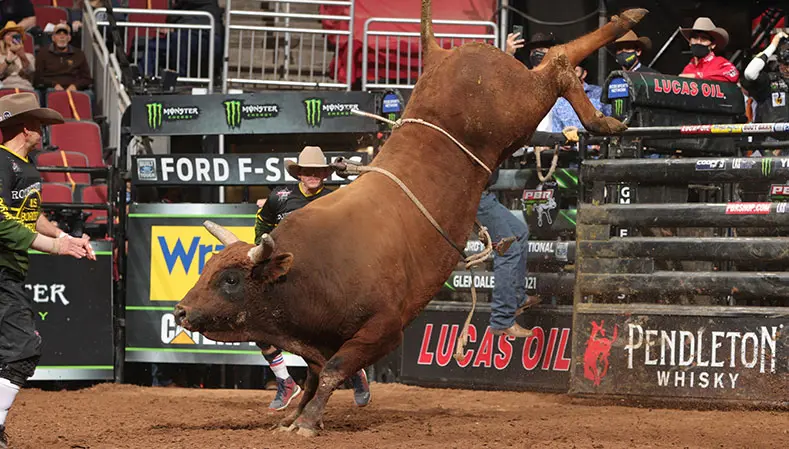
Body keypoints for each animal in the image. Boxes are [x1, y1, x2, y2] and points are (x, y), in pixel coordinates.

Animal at [173, 0, 648, 437]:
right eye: (207, 268)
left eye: (231, 279)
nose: (180, 311)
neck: (306, 269)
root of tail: (448, 55)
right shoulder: (314, 339)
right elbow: (313, 374)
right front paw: (293, 417)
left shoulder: (384, 329)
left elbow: (334, 369)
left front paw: (306, 422)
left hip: (521, 104)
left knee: (559, 63)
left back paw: (608, 94)